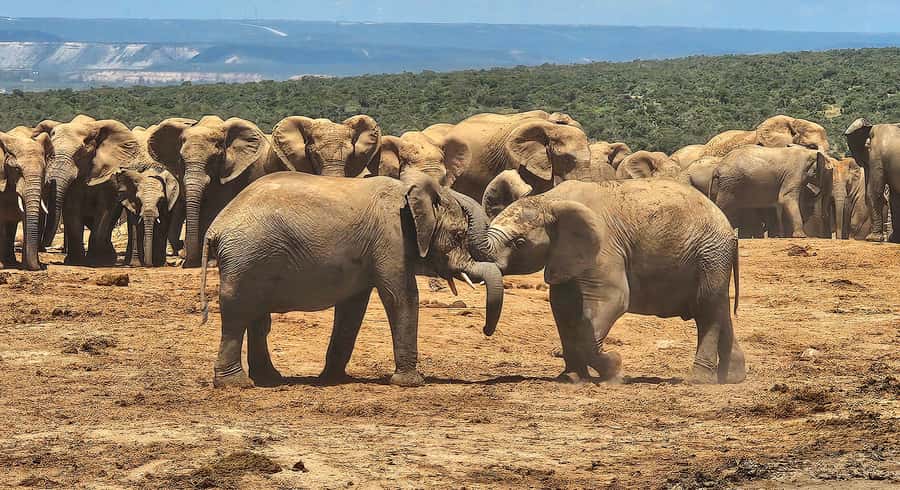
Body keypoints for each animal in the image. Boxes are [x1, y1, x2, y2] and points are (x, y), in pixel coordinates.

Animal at [0, 128, 51, 270]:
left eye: (44, 170)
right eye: (17, 169)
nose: (39, 267)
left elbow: (26, 218)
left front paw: (27, 267)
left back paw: (12, 262)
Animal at [35, 115, 141, 266]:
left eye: (80, 153)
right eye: (50, 154)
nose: (44, 246)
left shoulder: (107, 176)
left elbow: (104, 210)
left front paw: (95, 261)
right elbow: (72, 209)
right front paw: (75, 262)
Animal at [146, 116, 295, 267]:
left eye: (214, 158)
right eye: (181, 158)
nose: (186, 261)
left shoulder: (232, 172)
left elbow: (215, 207)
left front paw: (210, 262)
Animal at [199, 170, 503, 388]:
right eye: (459, 235)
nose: (485, 331)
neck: (408, 191)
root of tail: (215, 227)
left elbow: (353, 308)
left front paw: (333, 379)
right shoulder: (391, 238)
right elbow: (401, 297)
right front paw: (412, 383)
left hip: (254, 259)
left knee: (258, 318)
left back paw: (270, 378)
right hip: (246, 256)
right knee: (238, 313)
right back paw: (236, 384)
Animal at [481, 177, 744, 384]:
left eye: (519, 243)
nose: (486, 331)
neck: (549, 200)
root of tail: (730, 230)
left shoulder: (604, 247)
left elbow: (613, 299)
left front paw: (615, 369)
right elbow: (562, 308)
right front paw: (571, 378)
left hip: (711, 254)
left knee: (707, 309)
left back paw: (699, 380)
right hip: (713, 258)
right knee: (718, 307)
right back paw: (733, 377)